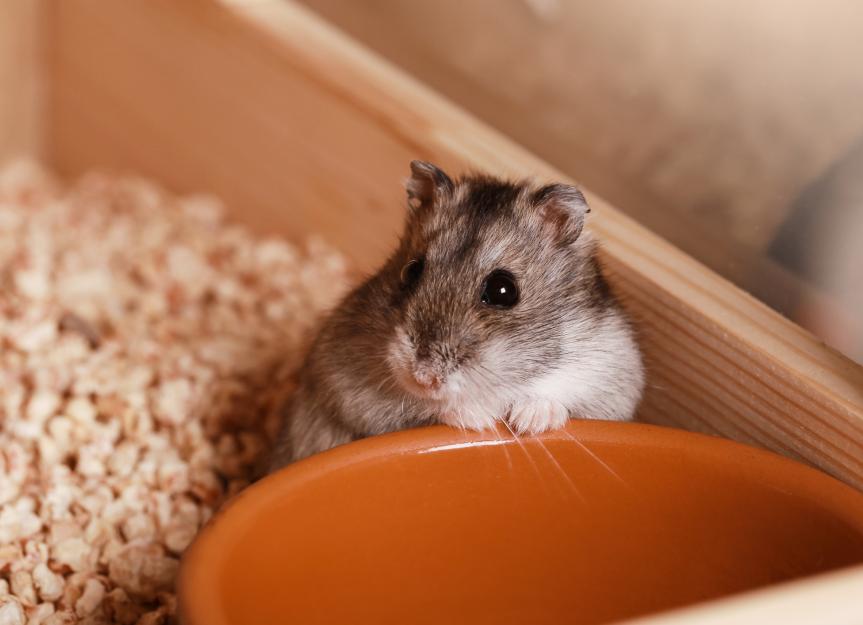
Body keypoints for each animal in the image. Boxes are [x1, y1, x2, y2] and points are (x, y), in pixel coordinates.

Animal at [268, 161, 644, 471]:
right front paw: (480, 419)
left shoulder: (613, 379)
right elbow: (428, 408)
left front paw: (529, 420)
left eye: (504, 290)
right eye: (411, 271)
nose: (423, 378)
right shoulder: (345, 380)